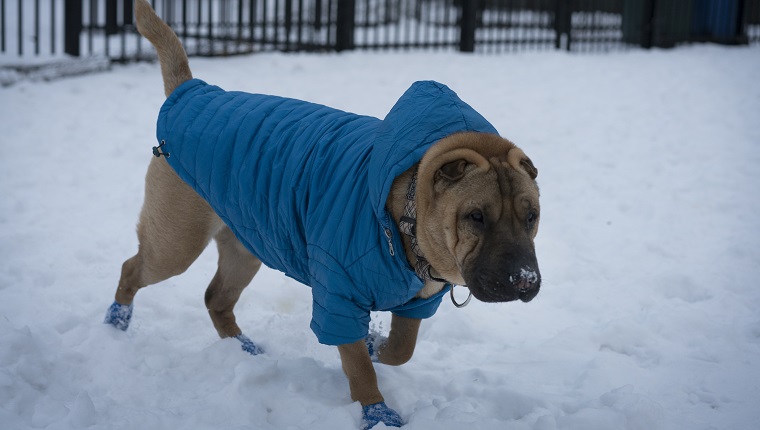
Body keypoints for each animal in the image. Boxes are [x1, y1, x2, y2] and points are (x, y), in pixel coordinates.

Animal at [105, 1, 540, 428]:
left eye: (532, 216)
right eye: (476, 217)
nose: (524, 280)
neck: (406, 216)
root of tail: (189, 93)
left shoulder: (417, 301)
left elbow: (402, 348)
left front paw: (376, 344)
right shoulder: (338, 293)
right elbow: (359, 366)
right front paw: (377, 413)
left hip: (247, 241)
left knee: (216, 298)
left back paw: (242, 349)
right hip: (177, 240)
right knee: (133, 268)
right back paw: (117, 322)